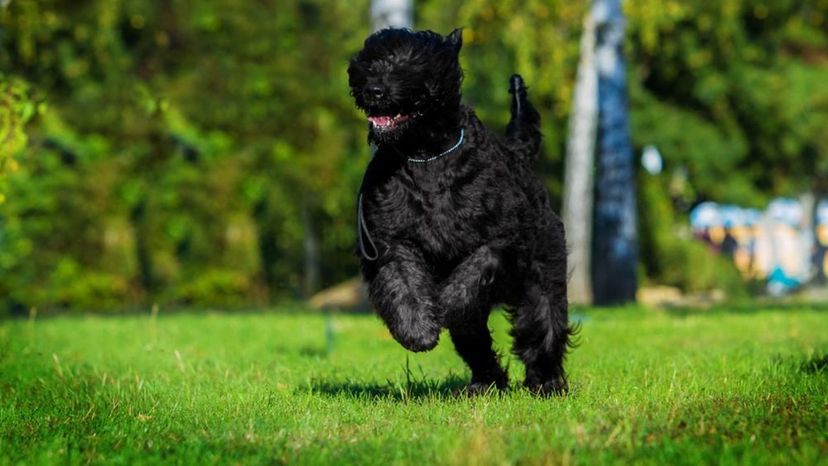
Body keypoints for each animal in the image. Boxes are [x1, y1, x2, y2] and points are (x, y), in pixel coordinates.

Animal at [346, 27, 572, 396]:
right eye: (367, 62)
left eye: (410, 62)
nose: (373, 90)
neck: (426, 155)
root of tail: (520, 155)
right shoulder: (391, 240)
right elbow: (402, 282)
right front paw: (417, 328)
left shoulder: (500, 241)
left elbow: (471, 273)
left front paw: (444, 305)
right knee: (476, 343)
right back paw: (485, 383)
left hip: (542, 276)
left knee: (543, 327)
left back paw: (546, 382)